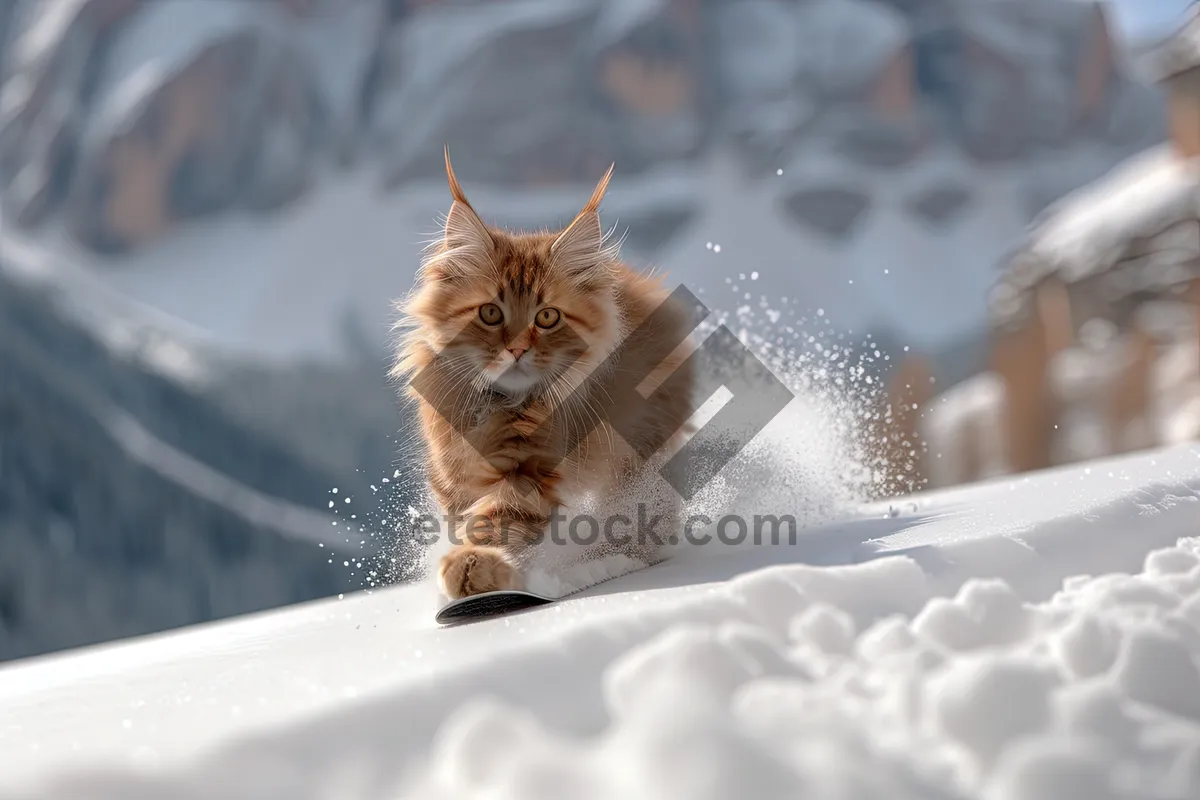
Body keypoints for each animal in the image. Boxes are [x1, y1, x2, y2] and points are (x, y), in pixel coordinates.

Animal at [391, 151, 696, 599]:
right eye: (490, 313)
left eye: (547, 317)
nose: (517, 349)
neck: (498, 408)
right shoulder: (450, 464)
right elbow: (458, 514)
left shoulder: (531, 470)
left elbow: (499, 519)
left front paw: (476, 567)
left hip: (640, 453)